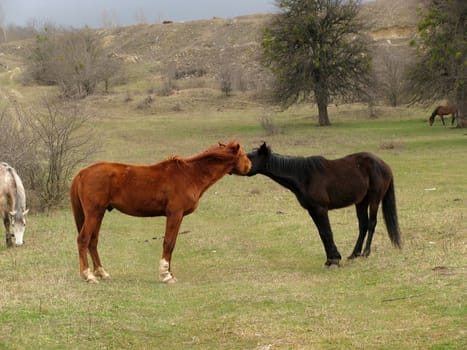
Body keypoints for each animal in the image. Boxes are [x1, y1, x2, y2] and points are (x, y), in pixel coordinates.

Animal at [69, 140, 250, 284]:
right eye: (242, 154)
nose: (250, 167)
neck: (189, 175)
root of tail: (82, 172)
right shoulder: (174, 214)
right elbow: (168, 243)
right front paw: (166, 275)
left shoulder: (179, 216)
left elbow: (173, 244)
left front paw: (170, 273)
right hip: (93, 213)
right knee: (83, 239)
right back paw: (88, 275)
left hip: (99, 214)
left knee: (93, 241)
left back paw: (101, 272)